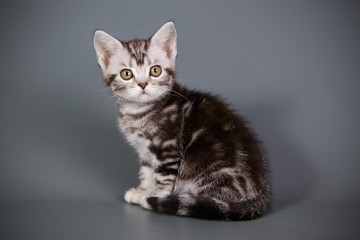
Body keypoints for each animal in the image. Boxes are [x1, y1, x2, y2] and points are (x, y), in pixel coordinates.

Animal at [93, 21, 270, 220]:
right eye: (126, 74)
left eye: (155, 70)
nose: (143, 84)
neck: (138, 112)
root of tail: (260, 195)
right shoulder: (144, 149)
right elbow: (148, 171)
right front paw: (144, 190)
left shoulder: (168, 148)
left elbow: (163, 178)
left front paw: (154, 196)